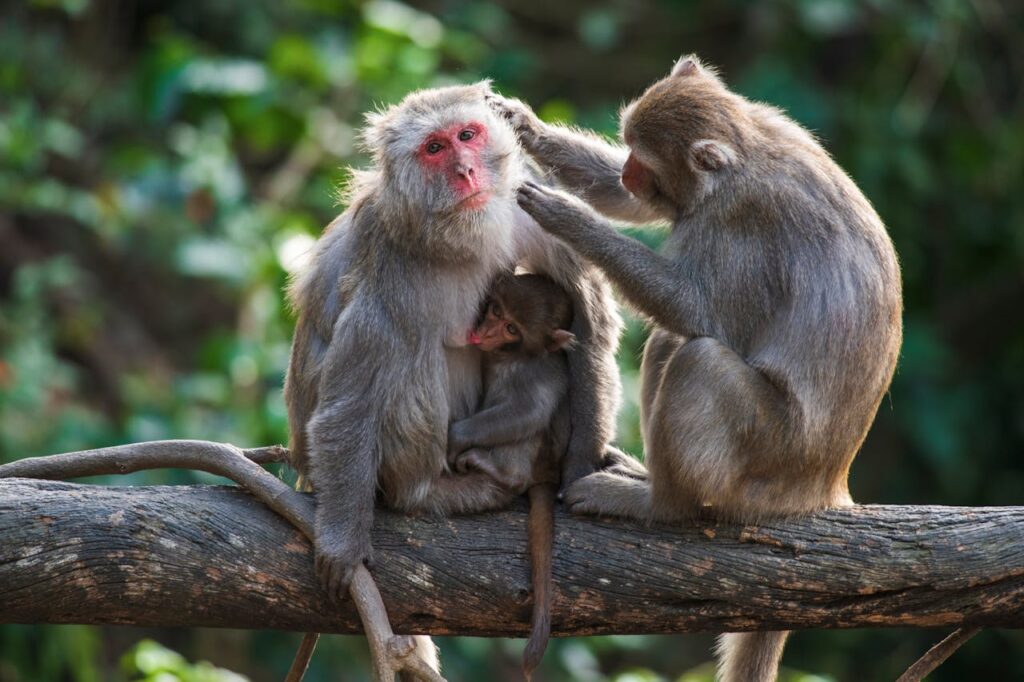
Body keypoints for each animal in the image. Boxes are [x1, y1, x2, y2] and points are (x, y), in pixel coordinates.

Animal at [283, 83, 624, 672]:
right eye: (435, 148)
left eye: (468, 135)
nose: (465, 171)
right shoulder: (389, 261)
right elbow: (352, 398)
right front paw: (343, 544)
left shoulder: (532, 210)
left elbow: (589, 322)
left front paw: (583, 468)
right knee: (408, 352)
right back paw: (445, 489)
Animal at [490, 55, 903, 682]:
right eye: (628, 149)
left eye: (644, 158)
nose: (629, 171)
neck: (747, 151)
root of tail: (824, 488)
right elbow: (641, 214)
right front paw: (522, 123)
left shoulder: (740, 222)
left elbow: (695, 307)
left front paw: (568, 217)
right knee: (670, 343)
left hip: (770, 455)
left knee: (698, 356)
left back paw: (661, 505)